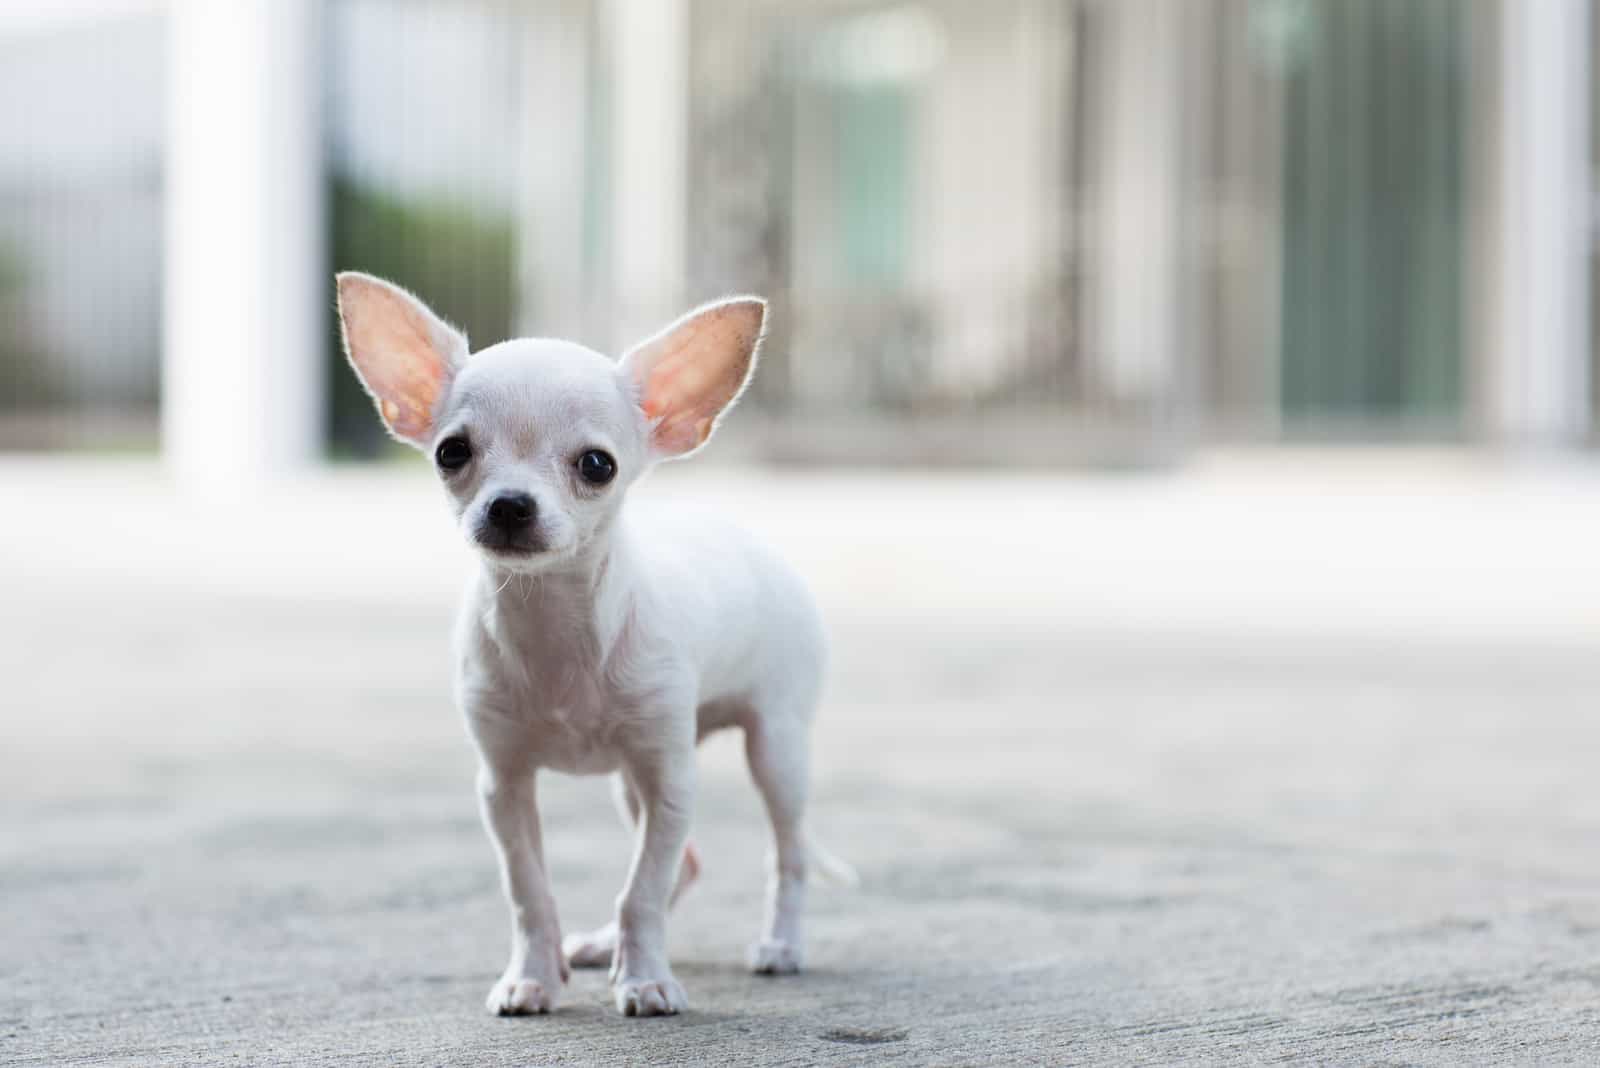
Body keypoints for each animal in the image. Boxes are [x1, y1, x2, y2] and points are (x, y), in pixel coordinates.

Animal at [339, 273, 851, 1016]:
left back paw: (780, 945)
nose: (510, 504)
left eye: (597, 465)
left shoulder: (670, 779)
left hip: (775, 752)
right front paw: (532, 976)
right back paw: (604, 945)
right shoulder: (505, 786)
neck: (556, 624)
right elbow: (531, 891)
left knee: (785, 854)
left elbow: (643, 890)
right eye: (451, 453)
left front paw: (647, 981)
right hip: (630, 784)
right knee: (685, 862)